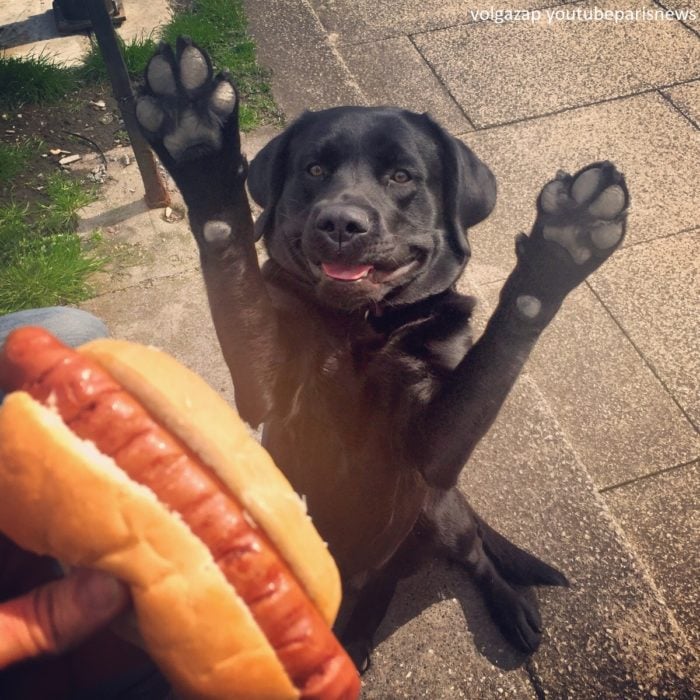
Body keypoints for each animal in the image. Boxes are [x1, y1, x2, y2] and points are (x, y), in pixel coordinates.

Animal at [135, 38, 628, 668]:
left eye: (401, 176)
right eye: (314, 170)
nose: (342, 222)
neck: (361, 327)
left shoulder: (432, 447)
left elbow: (497, 350)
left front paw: (566, 245)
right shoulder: (264, 383)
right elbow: (231, 257)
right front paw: (194, 138)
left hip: (438, 510)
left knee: (468, 555)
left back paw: (500, 609)